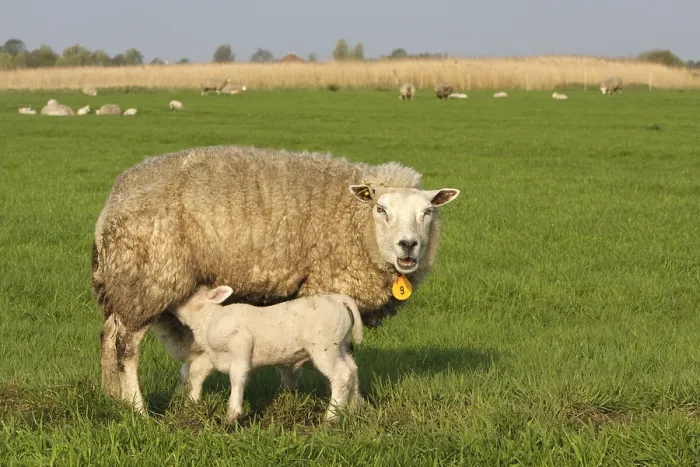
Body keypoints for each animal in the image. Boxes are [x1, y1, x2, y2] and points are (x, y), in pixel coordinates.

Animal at [166, 285, 364, 422]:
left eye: (188, 292)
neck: (208, 319)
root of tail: (339, 299)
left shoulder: (241, 344)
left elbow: (237, 377)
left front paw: (232, 414)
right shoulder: (214, 356)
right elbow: (196, 373)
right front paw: (191, 403)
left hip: (325, 345)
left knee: (341, 375)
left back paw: (331, 416)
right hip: (339, 345)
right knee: (353, 370)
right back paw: (353, 407)